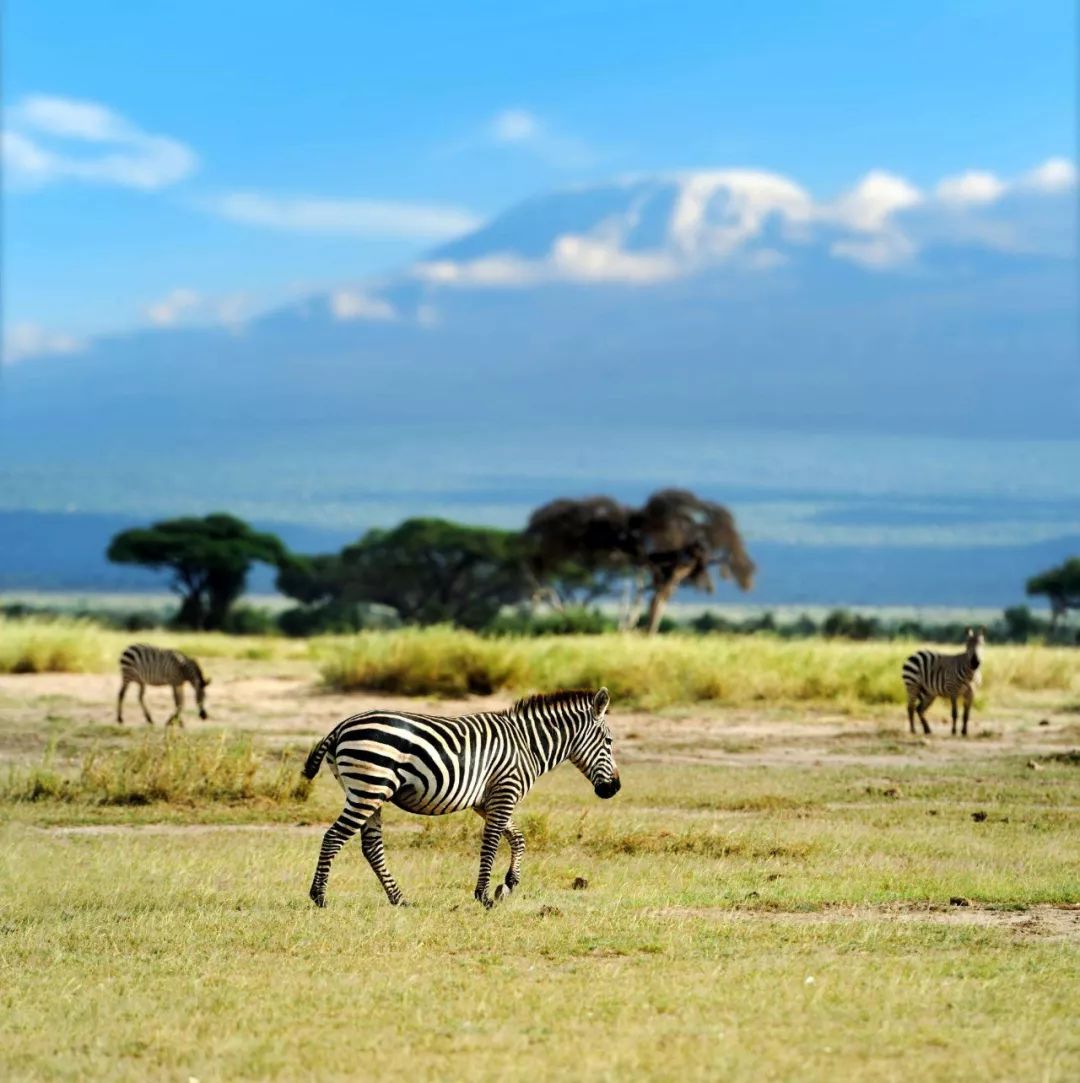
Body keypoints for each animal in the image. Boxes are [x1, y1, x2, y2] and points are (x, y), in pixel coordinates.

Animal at [303, 688, 623, 909]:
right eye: (609, 742)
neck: (527, 745)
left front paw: (507, 886)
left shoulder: (486, 801)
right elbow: (492, 843)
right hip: (369, 787)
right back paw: (319, 897)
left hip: (370, 792)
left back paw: (399, 898)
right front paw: (484, 895)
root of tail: (341, 726)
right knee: (333, 837)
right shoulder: (505, 791)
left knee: (371, 846)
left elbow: (517, 838)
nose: (615, 788)